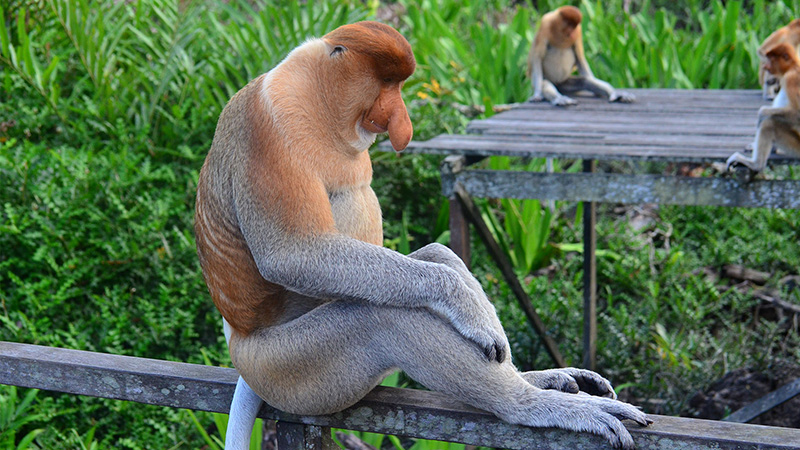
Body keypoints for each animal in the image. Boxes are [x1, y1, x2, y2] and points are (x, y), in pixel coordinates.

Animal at [194, 21, 650, 450]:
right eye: (386, 84)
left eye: (397, 86)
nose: (401, 121)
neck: (315, 96)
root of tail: (239, 341)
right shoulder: (267, 126)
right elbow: (292, 254)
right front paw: (470, 309)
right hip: (288, 368)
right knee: (381, 317)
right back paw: (533, 403)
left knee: (427, 259)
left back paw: (541, 378)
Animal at [727, 42, 800, 172]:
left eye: (771, 59)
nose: (765, 66)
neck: (792, 67)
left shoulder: (792, 79)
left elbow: (797, 113)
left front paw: (762, 112)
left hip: (796, 146)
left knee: (768, 124)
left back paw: (756, 164)